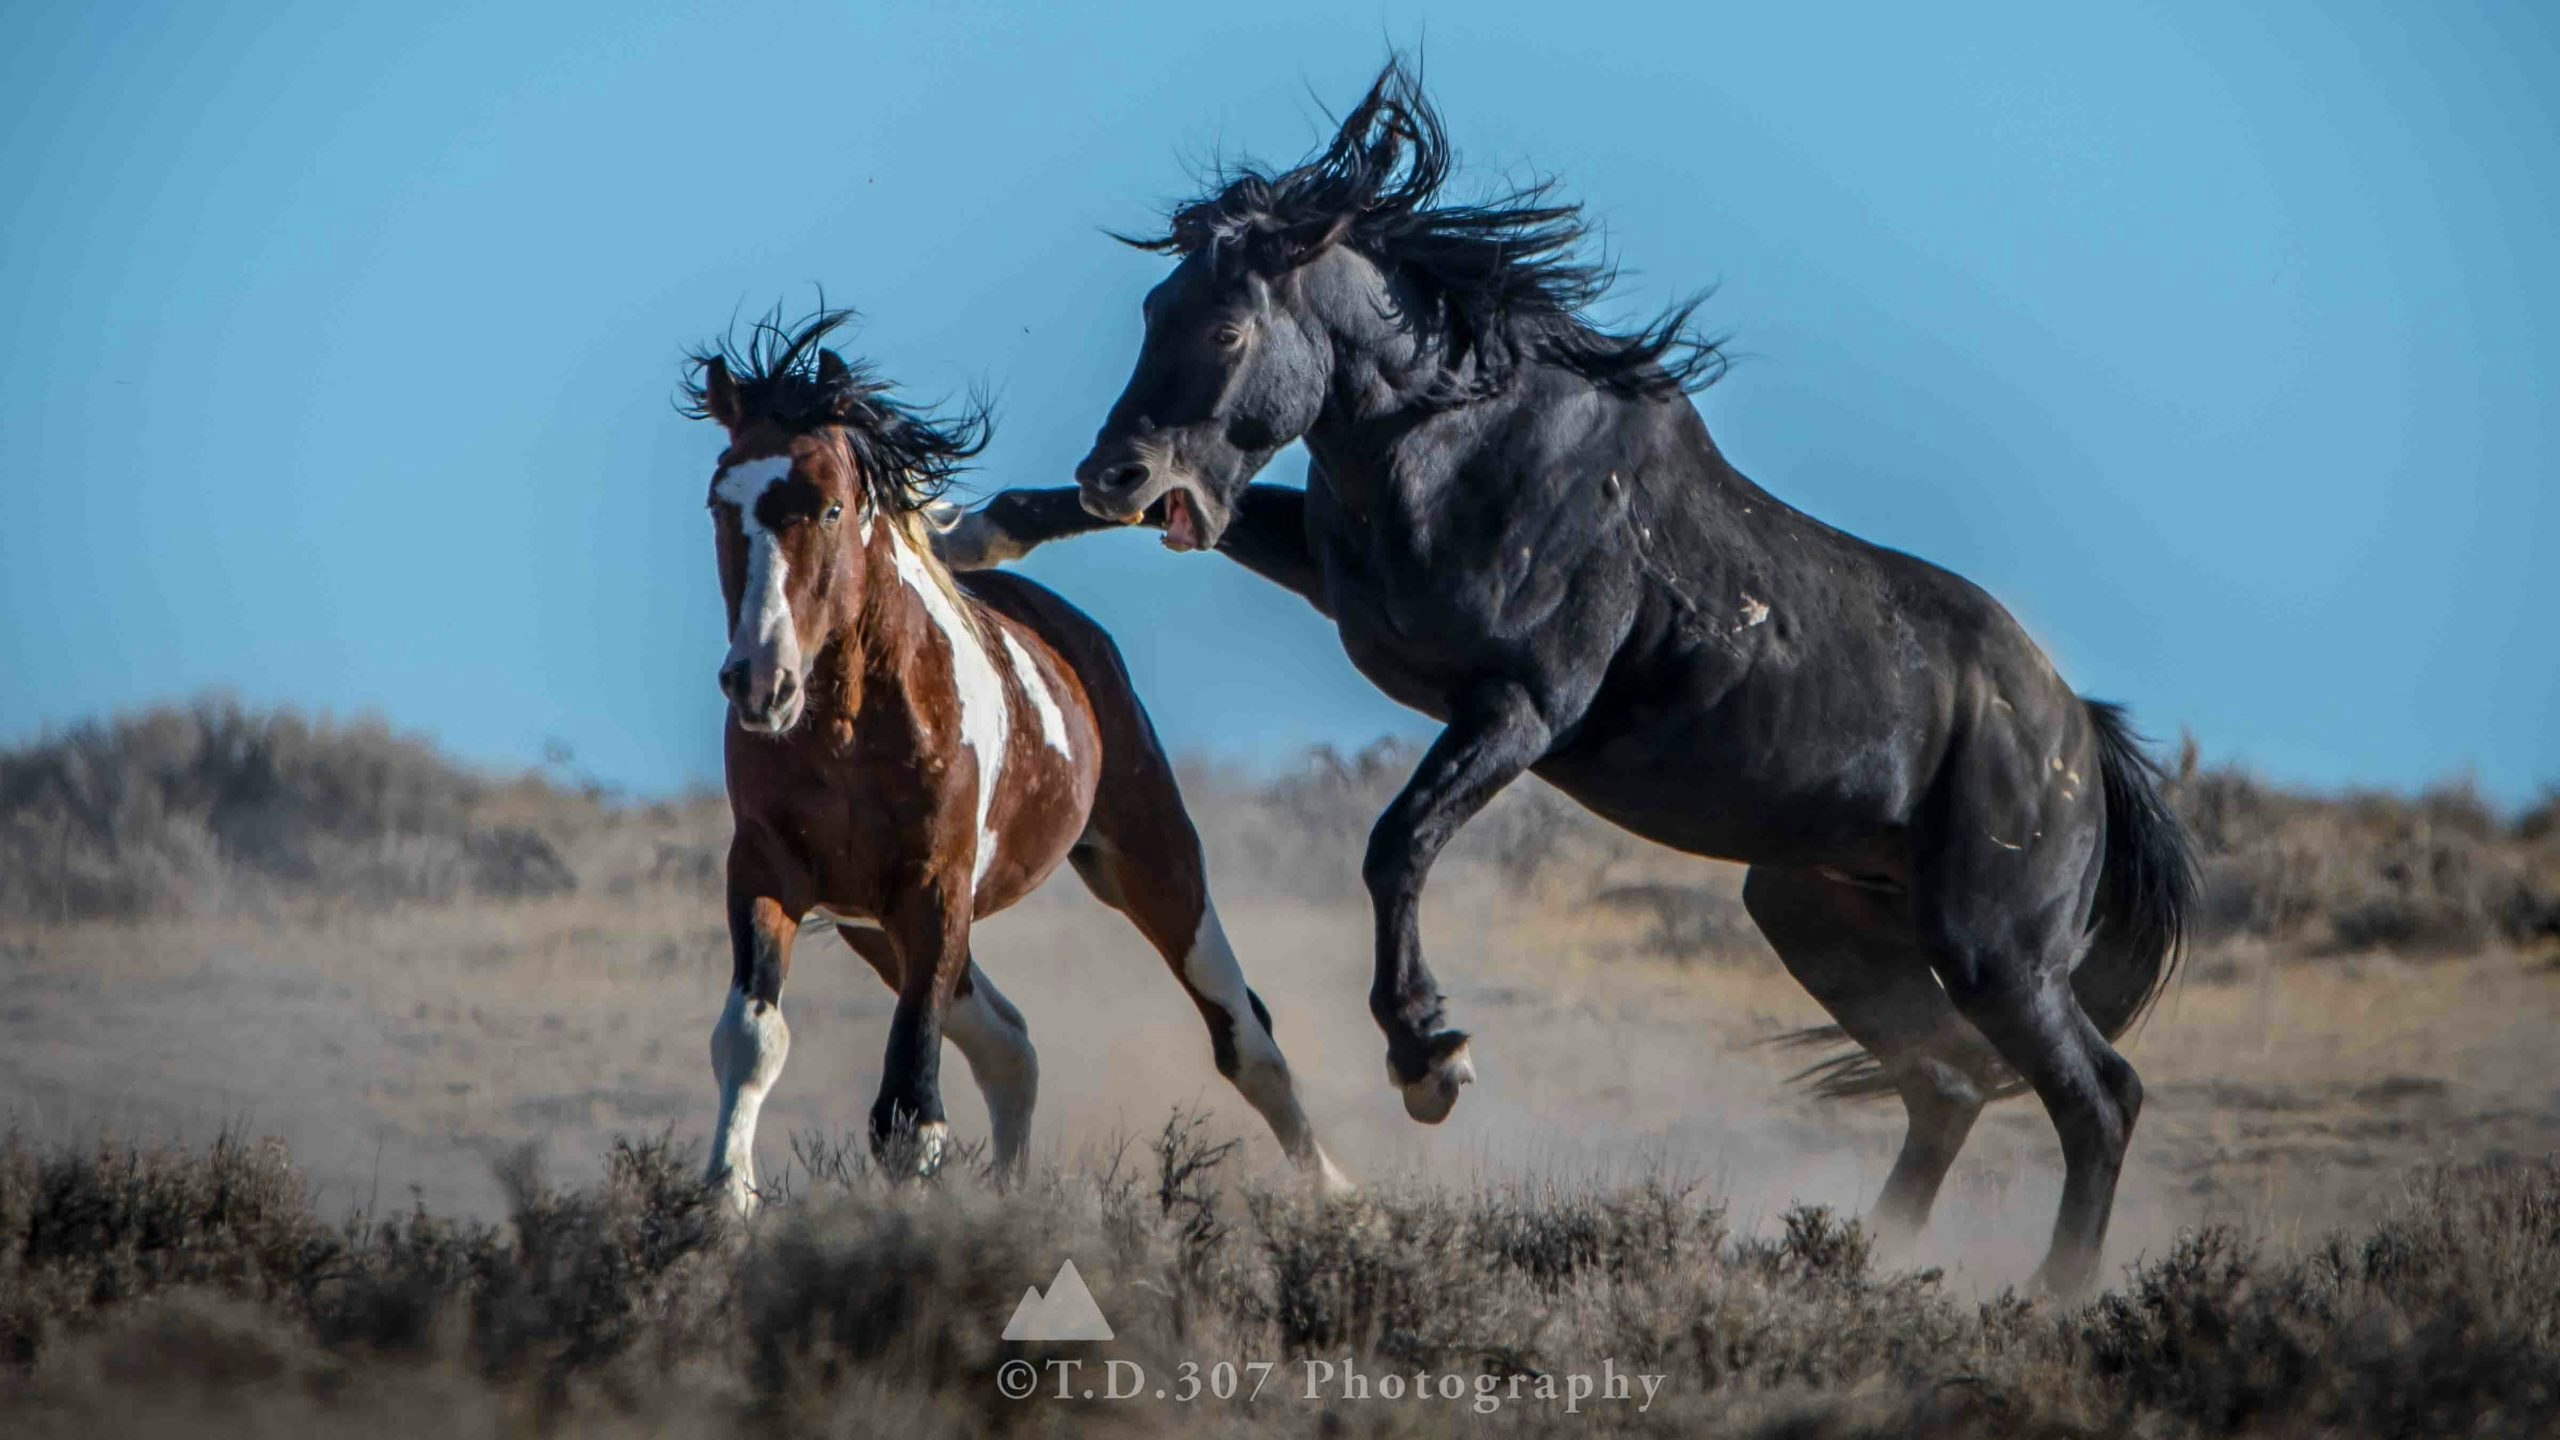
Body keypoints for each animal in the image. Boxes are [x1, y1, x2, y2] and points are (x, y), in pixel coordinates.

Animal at [683, 310, 1347, 1213]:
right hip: (873, 929)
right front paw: (725, 1202)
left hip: (1150, 862)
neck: (852, 726)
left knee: (1247, 1041)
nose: (760, 681)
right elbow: (753, 1041)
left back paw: (1341, 1196)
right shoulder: (768, 872)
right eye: (722, 502)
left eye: (829, 508)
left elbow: (908, 1113)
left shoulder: (935, 891)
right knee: (1010, 1047)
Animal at [943, 61, 2197, 1296]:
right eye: (1156, 309)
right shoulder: (1334, 578)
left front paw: (1429, 1058)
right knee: (1943, 1082)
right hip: (1816, 915)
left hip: (1993, 950)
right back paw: (1861, 1265)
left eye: (1228, 327)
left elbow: (1395, 844)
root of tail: (2076, 731)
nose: (1118, 469)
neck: (1472, 447)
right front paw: (972, 531)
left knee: (2098, 1098)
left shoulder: (1518, 711)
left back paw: (2050, 1294)